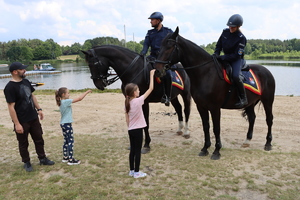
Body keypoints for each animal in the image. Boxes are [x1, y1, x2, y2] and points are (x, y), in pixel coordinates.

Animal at [156, 27, 276, 160]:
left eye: (170, 46)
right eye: (160, 46)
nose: (158, 70)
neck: (205, 73)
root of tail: (266, 71)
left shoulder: (215, 108)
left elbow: (216, 128)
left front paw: (216, 151)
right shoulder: (201, 107)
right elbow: (206, 127)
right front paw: (205, 148)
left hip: (267, 101)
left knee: (269, 119)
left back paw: (268, 143)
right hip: (250, 103)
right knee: (252, 118)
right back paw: (247, 141)